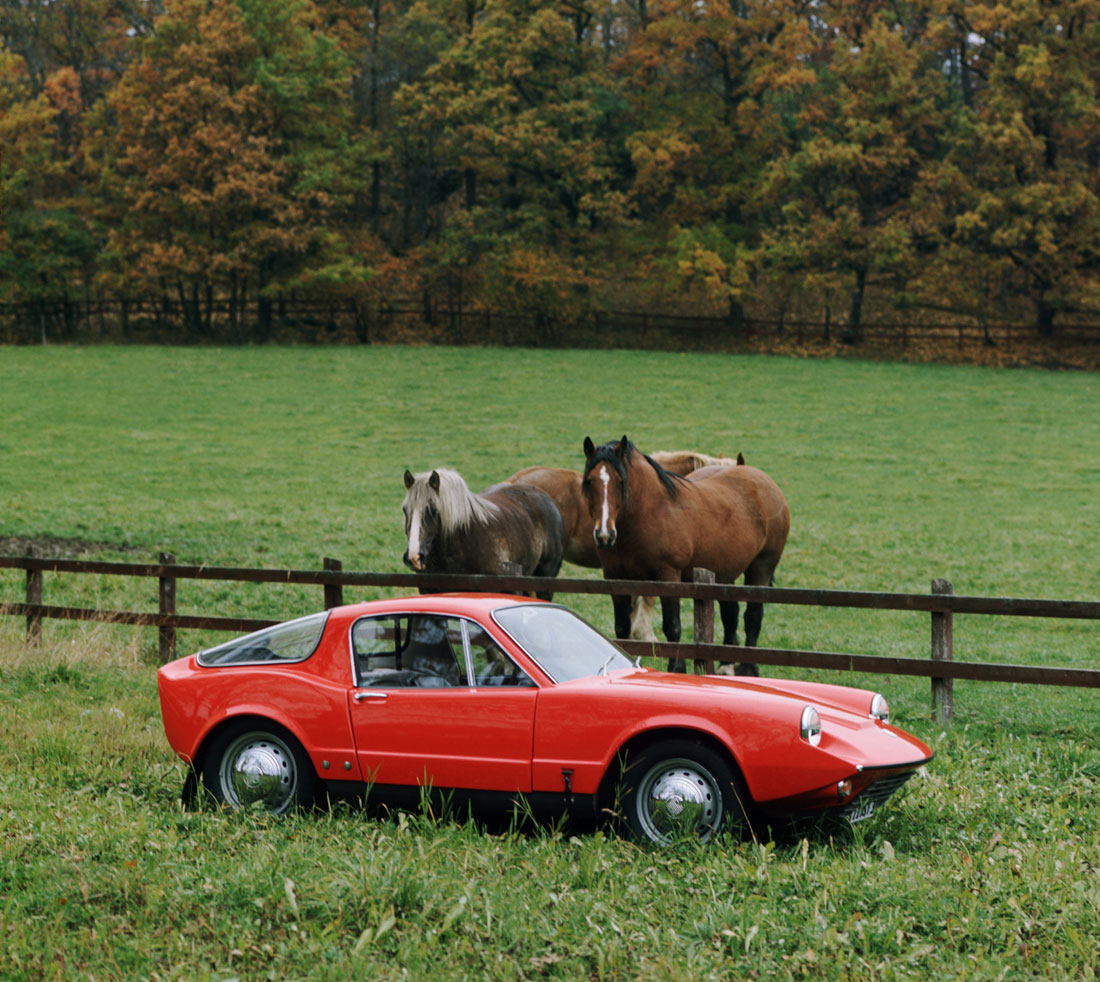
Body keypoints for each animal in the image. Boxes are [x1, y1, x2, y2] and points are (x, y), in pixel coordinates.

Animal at [580, 437, 787, 672]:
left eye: (620, 481)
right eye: (589, 481)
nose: (604, 535)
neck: (650, 513)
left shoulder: (668, 576)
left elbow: (672, 626)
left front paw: (677, 668)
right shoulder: (615, 578)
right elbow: (622, 627)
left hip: (761, 567)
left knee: (753, 616)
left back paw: (748, 669)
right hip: (724, 573)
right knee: (731, 613)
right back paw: (726, 666)